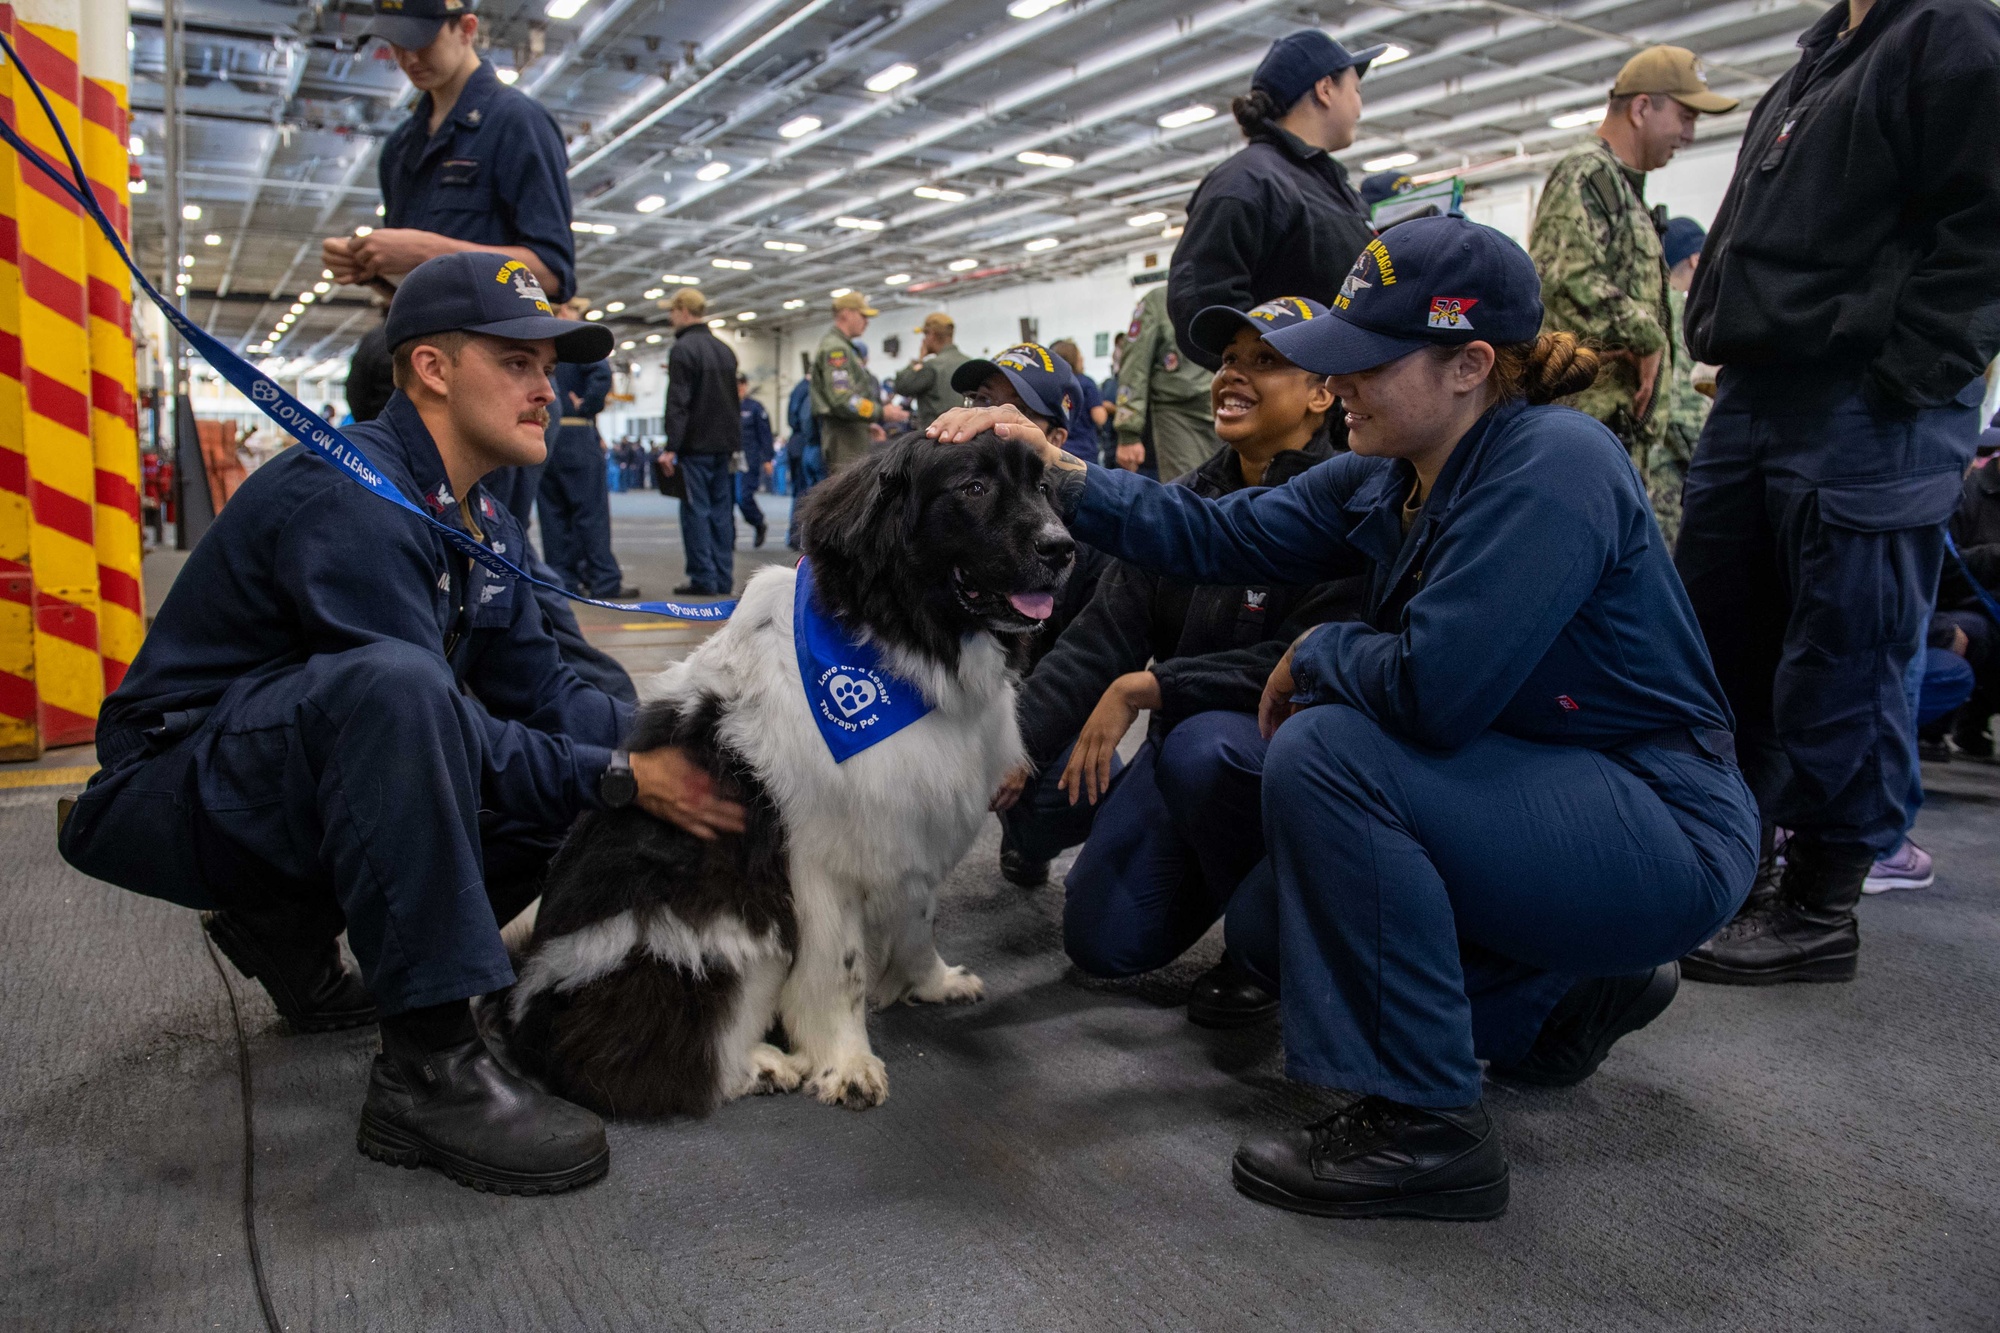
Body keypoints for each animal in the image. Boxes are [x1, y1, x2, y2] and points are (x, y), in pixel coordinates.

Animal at [494, 434, 1072, 1112]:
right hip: (728, 931)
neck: (902, 650)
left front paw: (931, 982)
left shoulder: (909, 826)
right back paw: (764, 1066)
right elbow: (843, 969)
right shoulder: (819, 860)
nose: (1062, 547)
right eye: (973, 488)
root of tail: (523, 1011)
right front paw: (847, 1064)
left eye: (1041, 487)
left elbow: (918, 918)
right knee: (658, 1056)